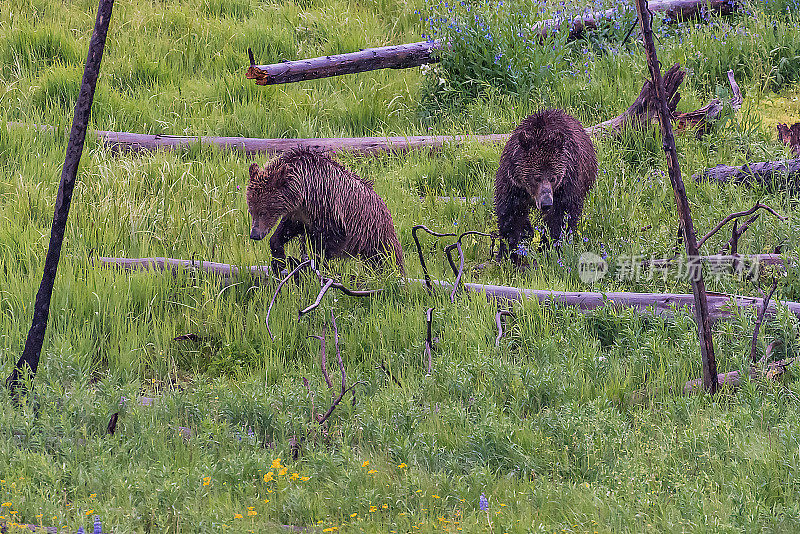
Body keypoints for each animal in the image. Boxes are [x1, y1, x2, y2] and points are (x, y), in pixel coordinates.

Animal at [245, 149, 406, 276]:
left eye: (263, 212)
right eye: (251, 210)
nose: (255, 234)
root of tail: (386, 209)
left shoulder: (329, 210)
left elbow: (328, 243)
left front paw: (311, 265)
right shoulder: (300, 215)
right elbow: (285, 230)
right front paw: (278, 261)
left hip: (375, 235)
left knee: (387, 258)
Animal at [494, 109, 600, 270]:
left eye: (553, 178)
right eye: (536, 177)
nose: (546, 203)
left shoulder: (568, 182)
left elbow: (560, 217)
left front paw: (548, 249)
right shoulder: (513, 183)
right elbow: (511, 214)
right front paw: (509, 253)